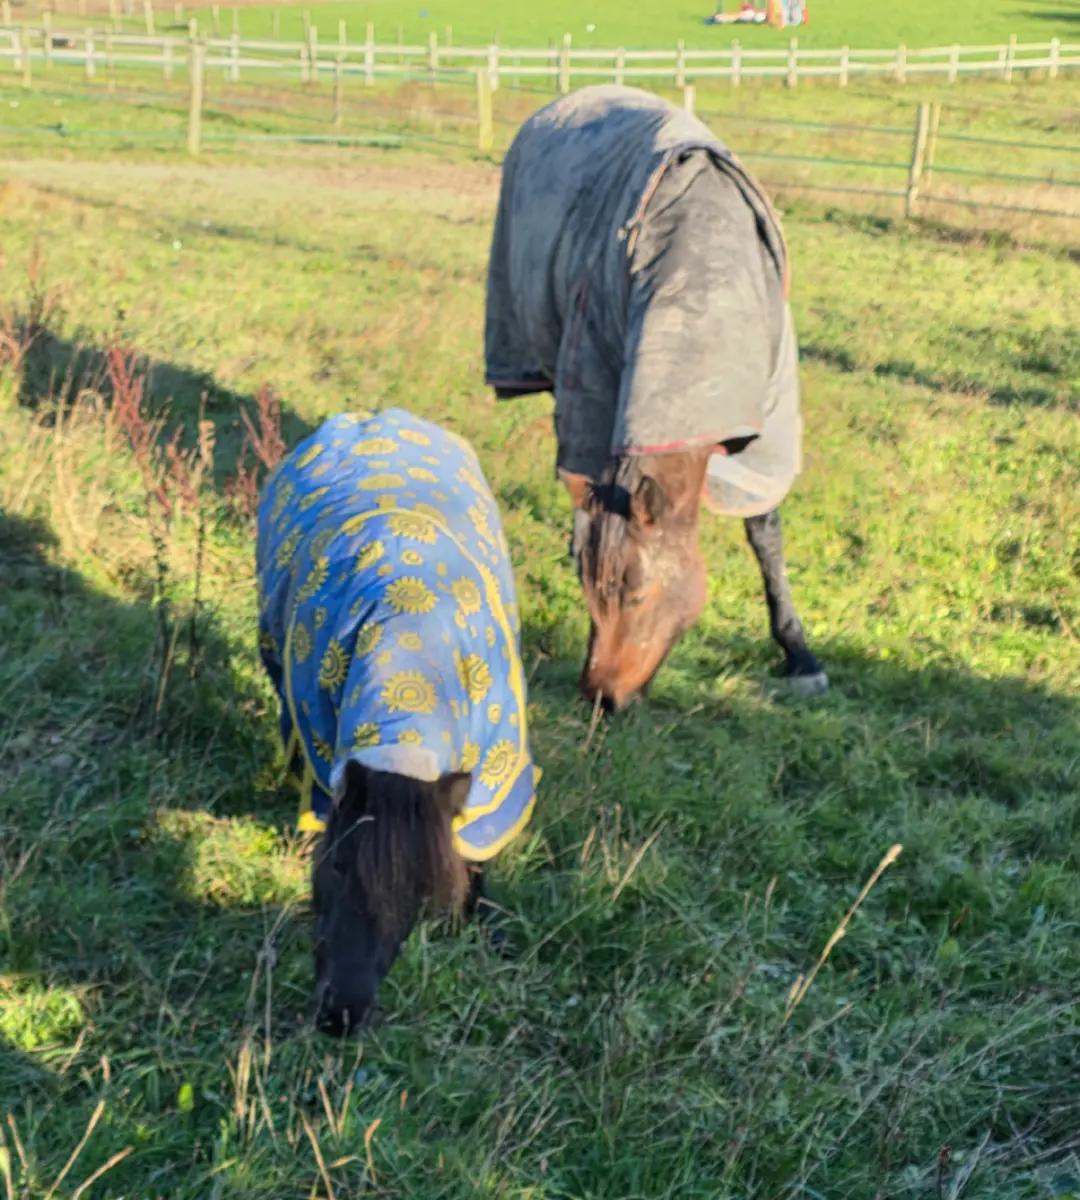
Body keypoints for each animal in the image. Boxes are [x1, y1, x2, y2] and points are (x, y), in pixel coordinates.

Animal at [257, 409, 538, 1033]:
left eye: (421, 894)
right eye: (334, 867)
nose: (341, 1016)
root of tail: (377, 416)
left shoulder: (491, 778)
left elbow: (474, 850)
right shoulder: (325, 756)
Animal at [485, 85, 827, 712]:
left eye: (638, 594)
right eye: (592, 596)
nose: (601, 696)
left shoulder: (763, 419)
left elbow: (763, 529)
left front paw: (799, 653)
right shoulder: (599, 369)